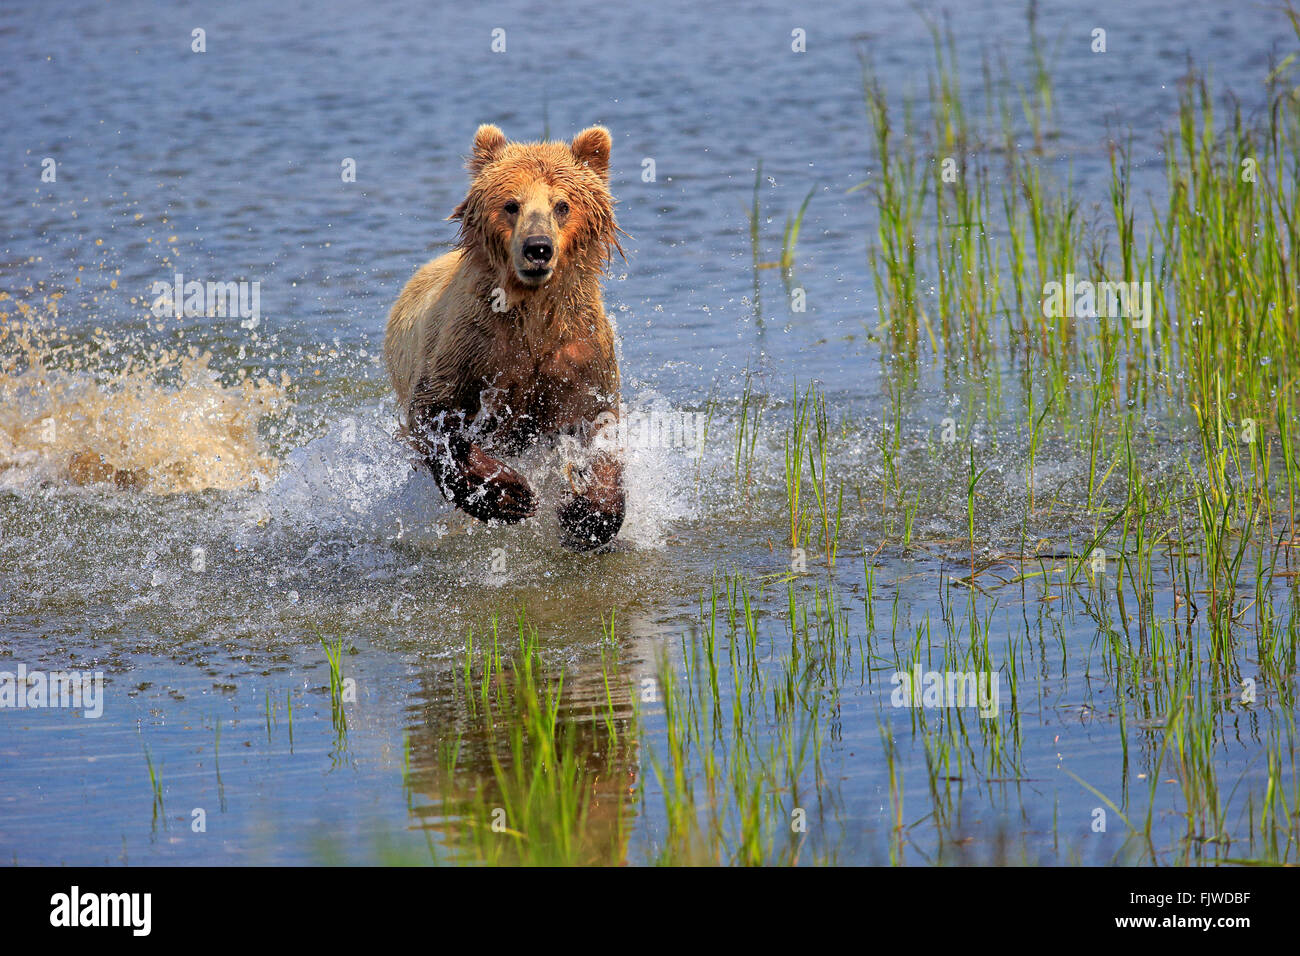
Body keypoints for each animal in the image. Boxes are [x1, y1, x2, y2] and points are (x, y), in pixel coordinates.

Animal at [382, 123, 626, 548]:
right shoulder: (471, 345)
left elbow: (598, 422)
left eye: (562, 205)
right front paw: (509, 493)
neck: (532, 311)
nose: (538, 248)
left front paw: (586, 512)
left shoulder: (579, 351)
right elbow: (436, 415)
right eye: (512, 204)